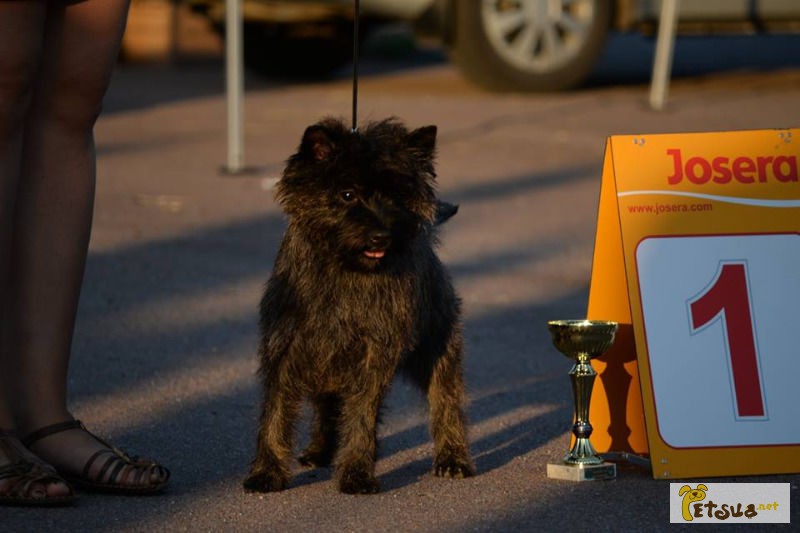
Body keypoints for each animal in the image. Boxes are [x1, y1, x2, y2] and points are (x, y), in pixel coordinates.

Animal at [244, 117, 476, 494]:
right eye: (347, 194)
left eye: (396, 195)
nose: (381, 236)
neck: (345, 271)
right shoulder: (287, 346)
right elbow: (275, 413)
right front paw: (267, 472)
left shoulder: (373, 353)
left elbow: (362, 414)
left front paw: (356, 472)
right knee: (327, 405)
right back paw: (320, 450)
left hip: (436, 347)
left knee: (446, 398)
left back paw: (453, 458)